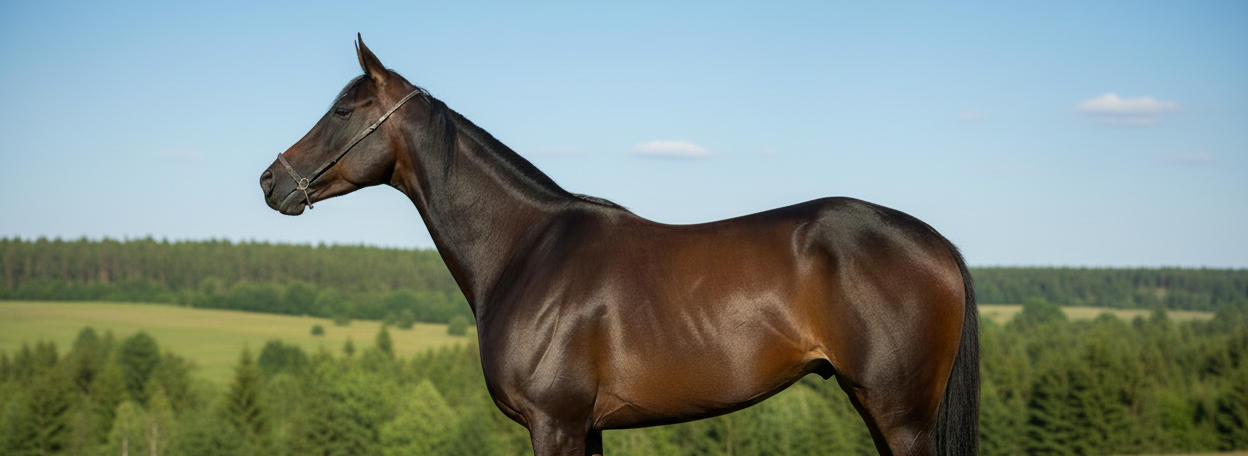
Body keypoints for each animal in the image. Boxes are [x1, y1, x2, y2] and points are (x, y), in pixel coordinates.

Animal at [259, 35, 978, 456]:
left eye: (342, 111)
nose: (271, 181)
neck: (525, 250)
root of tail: (937, 243)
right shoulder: (587, 427)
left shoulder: (555, 423)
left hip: (901, 415)